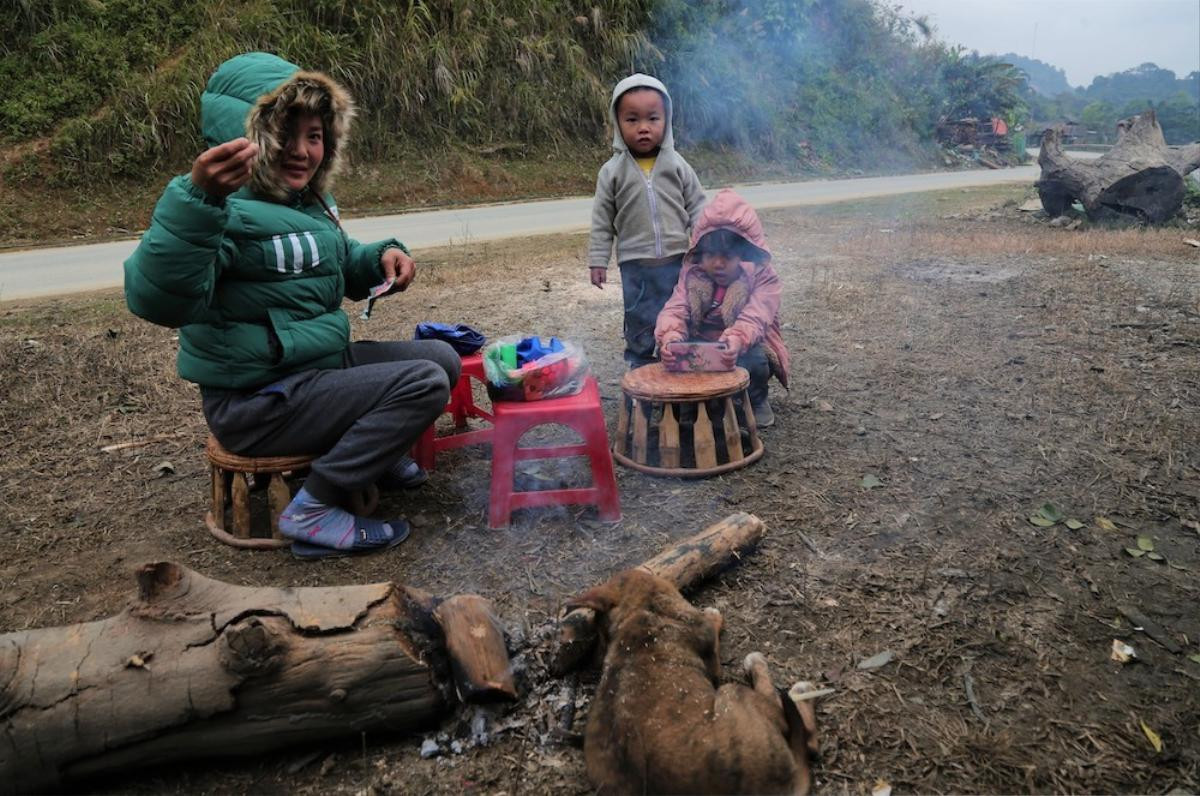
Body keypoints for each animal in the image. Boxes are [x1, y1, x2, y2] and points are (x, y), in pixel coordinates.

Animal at [566, 569, 820, 792]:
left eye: (602, 635)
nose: (593, 664)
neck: (639, 612)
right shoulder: (712, 656)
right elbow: (713, 622)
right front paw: (714, 614)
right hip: (733, 692)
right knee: (803, 733)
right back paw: (791, 684)